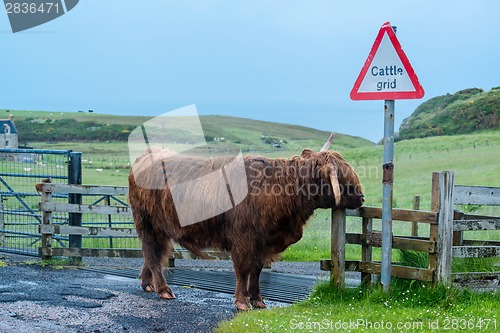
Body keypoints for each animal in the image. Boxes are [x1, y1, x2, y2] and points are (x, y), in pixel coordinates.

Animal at [129, 134, 364, 308]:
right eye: (344, 178)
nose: (362, 198)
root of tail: (145, 156)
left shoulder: (263, 242)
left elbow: (257, 270)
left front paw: (258, 300)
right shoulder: (244, 239)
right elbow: (243, 269)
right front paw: (242, 302)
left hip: (158, 229)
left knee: (154, 254)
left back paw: (148, 284)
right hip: (148, 224)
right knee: (153, 254)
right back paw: (163, 289)